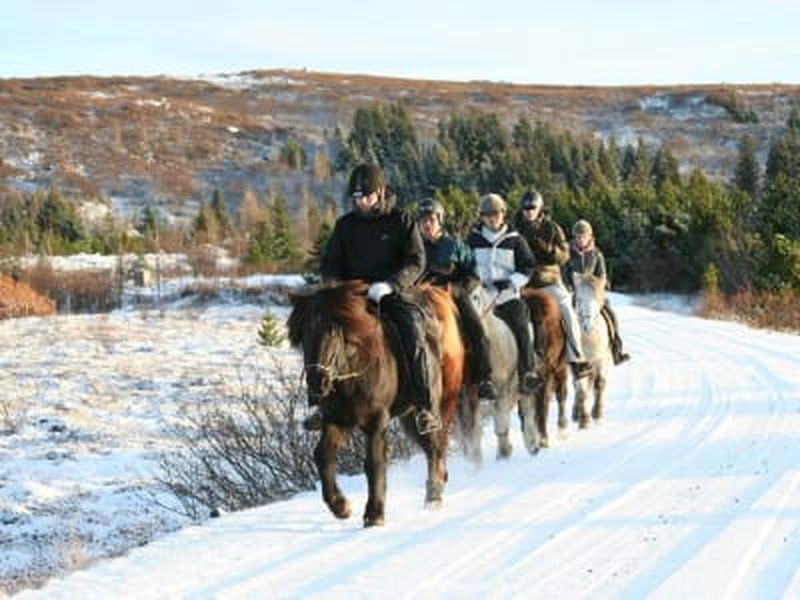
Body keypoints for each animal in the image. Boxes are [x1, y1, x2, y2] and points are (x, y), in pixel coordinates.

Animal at [287, 280, 464, 527]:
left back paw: (434, 496)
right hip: (409, 416)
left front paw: (374, 514)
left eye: (333, 330)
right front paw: (340, 506)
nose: (317, 382)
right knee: (429, 446)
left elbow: (374, 462)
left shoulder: (376, 420)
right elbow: (322, 455)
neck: (351, 374)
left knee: (436, 444)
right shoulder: (336, 419)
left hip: (441, 403)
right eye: (303, 333)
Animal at [458, 285, 540, 460]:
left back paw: (532, 444)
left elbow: (501, 424)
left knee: (527, 409)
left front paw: (504, 453)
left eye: (475, 297)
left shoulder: (502, 389)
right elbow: (474, 432)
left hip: (524, 384)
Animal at [521, 288, 569, 449]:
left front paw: (542, 439)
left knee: (561, 395)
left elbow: (542, 404)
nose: (539, 352)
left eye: (542, 322)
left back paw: (561, 429)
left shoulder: (545, 374)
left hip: (560, 370)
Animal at [571, 273, 612, 426]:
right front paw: (584, 419)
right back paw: (575, 413)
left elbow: (599, 383)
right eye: (578, 299)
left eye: (597, 297)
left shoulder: (601, 360)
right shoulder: (578, 363)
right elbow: (581, 389)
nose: (587, 325)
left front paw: (597, 413)